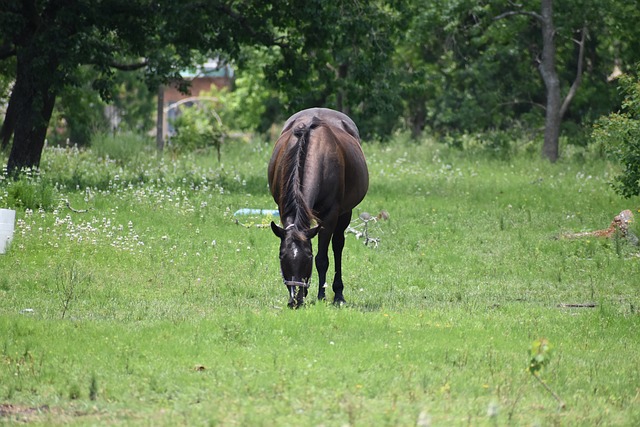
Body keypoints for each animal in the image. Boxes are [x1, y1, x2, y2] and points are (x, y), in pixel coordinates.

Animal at [268, 107, 368, 308]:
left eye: (308, 256)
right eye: (282, 256)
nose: (295, 299)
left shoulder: (330, 216)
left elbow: (322, 258)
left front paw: (322, 296)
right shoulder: (284, 210)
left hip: (345, 214)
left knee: (338, 246)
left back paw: (338, 293)